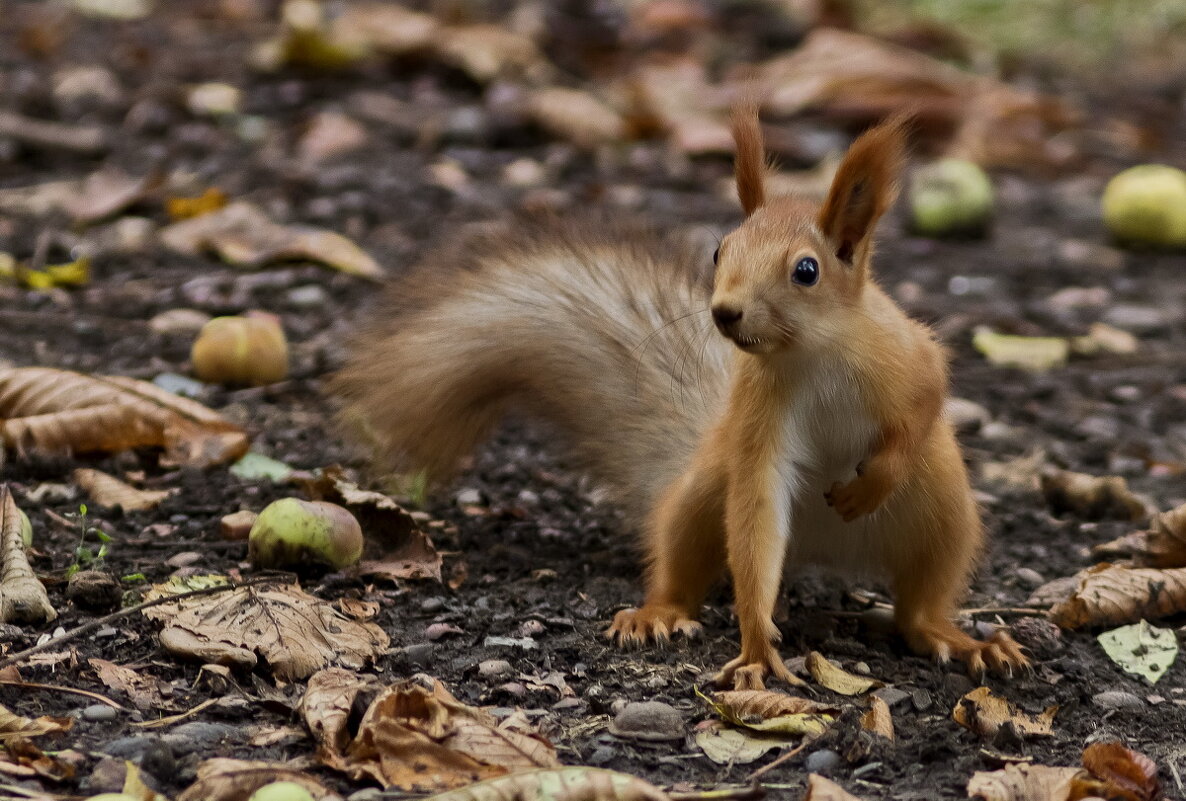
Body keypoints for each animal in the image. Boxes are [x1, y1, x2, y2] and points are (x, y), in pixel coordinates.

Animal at [334, 103, 1029, 693]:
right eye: (720, 250)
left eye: (807, 270)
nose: (725, 311)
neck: (812, 351)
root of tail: (822, 552)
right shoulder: (758, 417)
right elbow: (756, 506)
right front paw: (757, 646)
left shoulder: (908, 355)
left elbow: (925, 403)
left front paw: (872, 482)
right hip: (700, 498)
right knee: (688, 558)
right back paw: (658, 613)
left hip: (944, 517)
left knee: (920, 606)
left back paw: (961, 640)